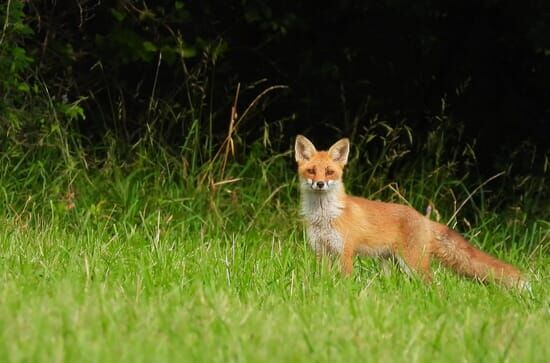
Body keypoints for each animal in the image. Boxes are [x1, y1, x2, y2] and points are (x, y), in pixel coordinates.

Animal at [296, 135, 532, 292]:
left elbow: (345, 282)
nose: (319, 184)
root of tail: (424, 219)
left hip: (413, 264)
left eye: (329, 172)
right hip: (393, 263)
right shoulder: (321, 251)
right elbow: (322, 279)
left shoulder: (345, 252)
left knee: (435, 286)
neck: (324, 217)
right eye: (311, 171)